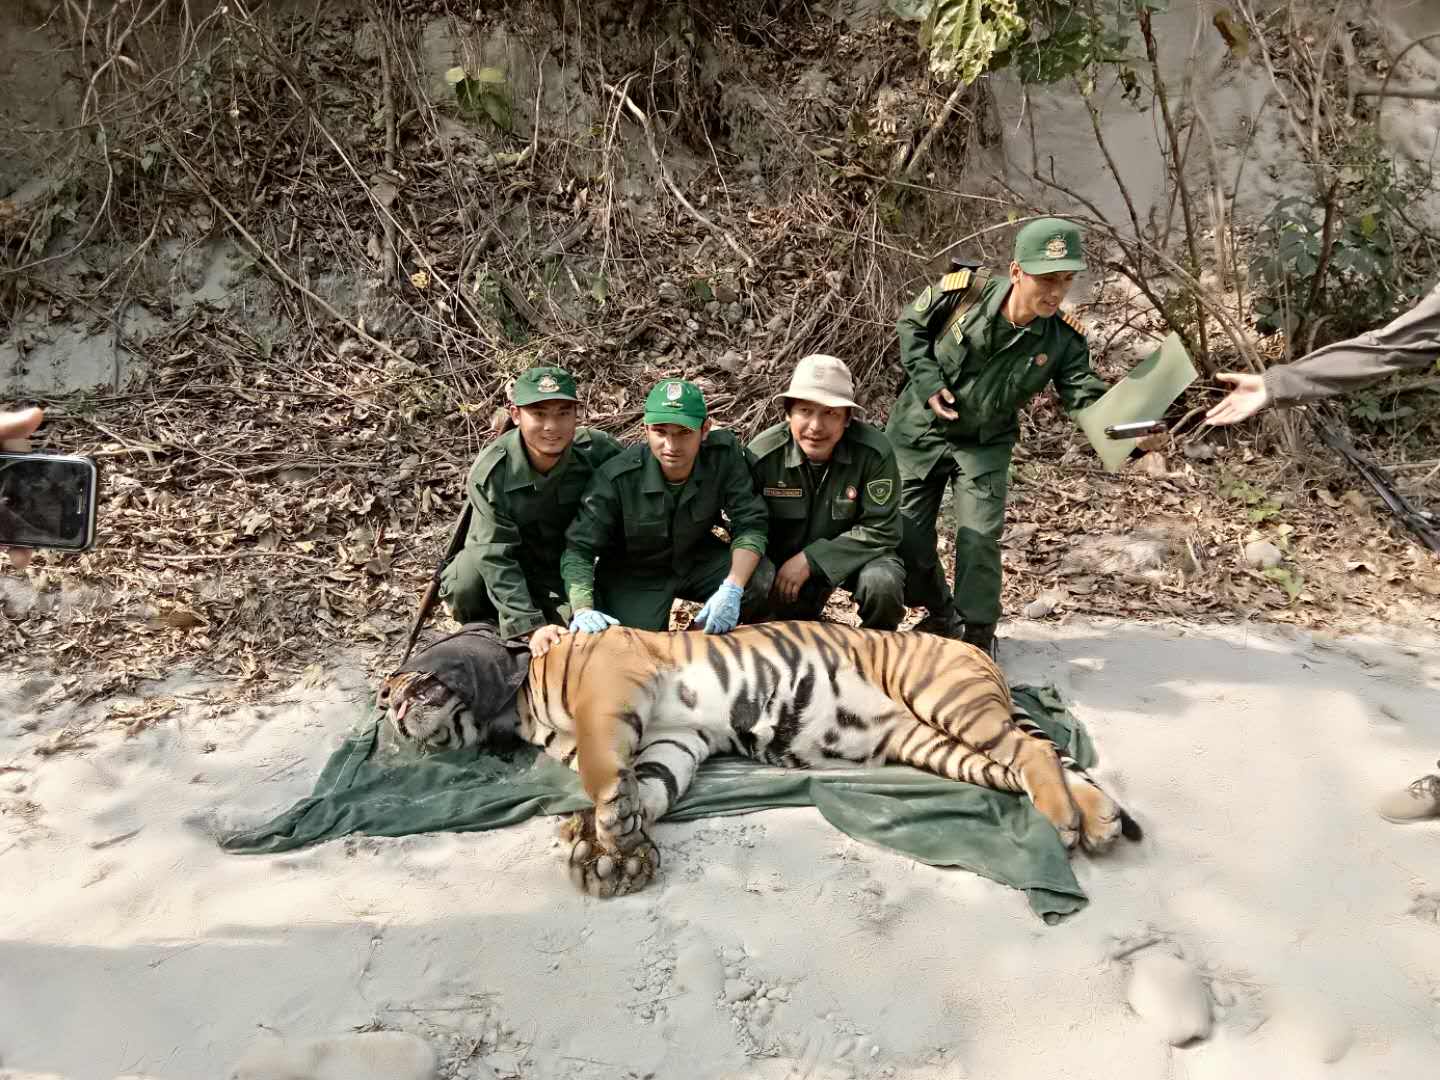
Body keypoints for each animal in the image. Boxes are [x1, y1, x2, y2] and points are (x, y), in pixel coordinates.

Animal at [380, 622, 1134, 898]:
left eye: (404, 682)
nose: (386, 709)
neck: (518, 708)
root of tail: (976, 650)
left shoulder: (614, 683)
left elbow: (600, 767)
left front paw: (605, 829)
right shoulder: (674, 741)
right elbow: (646, 788)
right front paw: (608, 843)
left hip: (945, 699)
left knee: (1033, 748)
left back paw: (1070, 822)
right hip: (934, 743)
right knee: (1028, 763)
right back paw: (1095, 820)